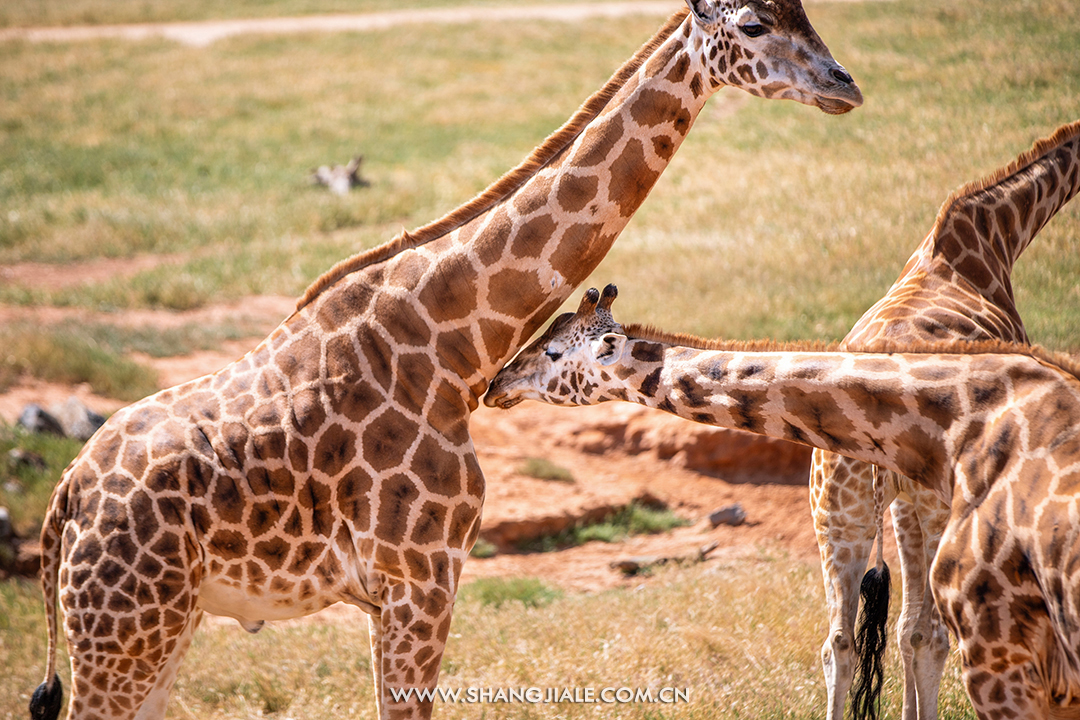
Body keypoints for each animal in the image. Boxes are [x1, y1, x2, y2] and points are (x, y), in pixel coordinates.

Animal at [27, 2, 859, 716]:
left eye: (805, 11)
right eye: (753, 24)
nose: (845, 85)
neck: (452, 342)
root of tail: (67, 497)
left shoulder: (418, 584)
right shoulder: (418, 579)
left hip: (163, 626)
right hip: (122, 629)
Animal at [816, 118, 1080, 720]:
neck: (995, 237)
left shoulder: (901, 506)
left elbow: (901, 630)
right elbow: (920, 631)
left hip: (838, 514)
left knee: (841, 641)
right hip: (931, 507)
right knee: (930, 634)